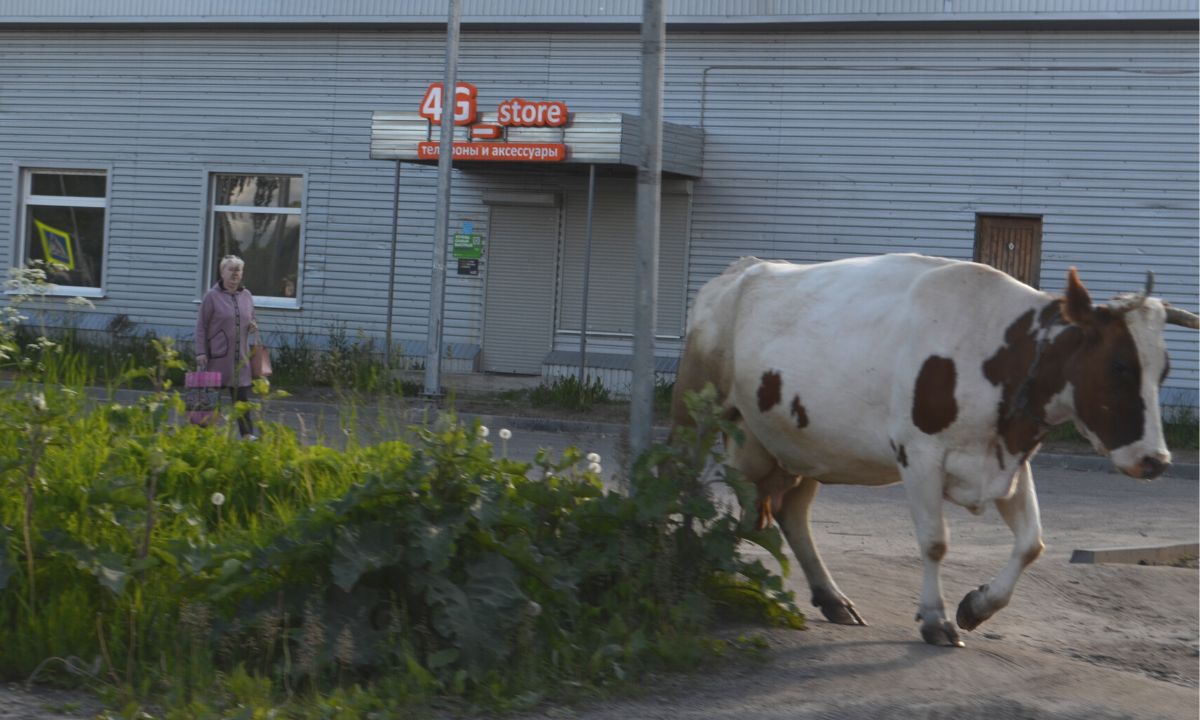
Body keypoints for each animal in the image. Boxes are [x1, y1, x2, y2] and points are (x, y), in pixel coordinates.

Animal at [672, 252, 1195, 648]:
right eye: (1121, 365)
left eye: (1165, 370)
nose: (1157, 461)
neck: (999, 351)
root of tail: (741, 269)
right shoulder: (920, 456)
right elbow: (935, 542)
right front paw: (935, 620)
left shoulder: (1008, 458)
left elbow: (1032, 544)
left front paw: (976, 606)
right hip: (697, 412)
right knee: (686, 484)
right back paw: (686, 564)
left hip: (802, 442)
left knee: (789, 511)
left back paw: (832, 598)